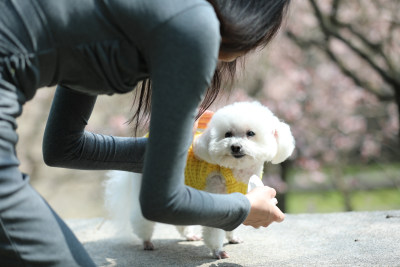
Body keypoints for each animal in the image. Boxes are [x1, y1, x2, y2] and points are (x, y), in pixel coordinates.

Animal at [104, 101, 296, 260]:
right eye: (227, 134)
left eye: (251, 133)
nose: (235, 147)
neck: (237, 171)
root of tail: (145, 138)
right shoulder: (218, 193)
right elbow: (214, 229)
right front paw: (217, 250)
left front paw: (232, 238)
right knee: (141, 218)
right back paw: (146, 241)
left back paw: (188, 235)